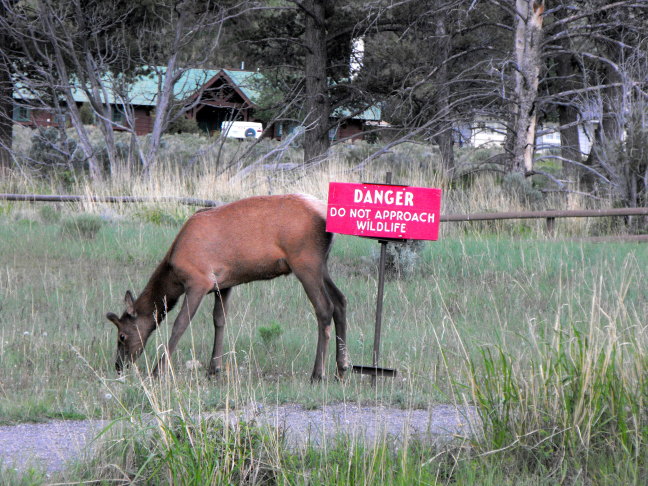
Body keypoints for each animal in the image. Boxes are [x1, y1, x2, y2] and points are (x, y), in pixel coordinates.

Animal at [106, 196, 350, 382]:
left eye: (122, 336)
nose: (118, 365)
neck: (173, 273)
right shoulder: (223, 285)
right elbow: (219, 319)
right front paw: (214, 368)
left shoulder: (198, 281)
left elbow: (180, 324)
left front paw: (159, 371)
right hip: (321, 264)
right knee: (340, 301)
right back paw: (341, 368)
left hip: (305, 262)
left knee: (324, 308)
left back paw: (318, 374)